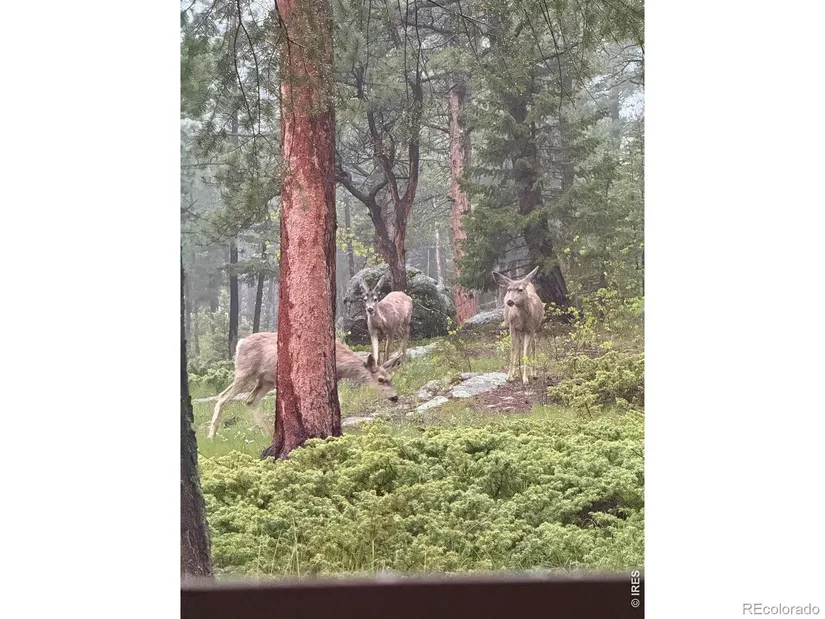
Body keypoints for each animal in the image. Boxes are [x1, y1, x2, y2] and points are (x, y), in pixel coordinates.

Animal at [207, 332, 402, 439]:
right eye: (380, 380)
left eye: (391, 377)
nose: (395, 397)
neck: (339, 364)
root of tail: (239, 343)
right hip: (245, 371)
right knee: (223, 397)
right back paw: (211, 435)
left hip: (266, 381)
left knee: (249, 401)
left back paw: (268, 434)